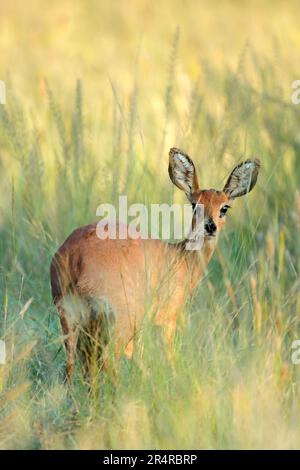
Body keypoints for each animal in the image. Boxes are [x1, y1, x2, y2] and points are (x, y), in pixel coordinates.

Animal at [49, 148, 260, 382]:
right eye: (195, 204)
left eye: (225, 207)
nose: (210, 226)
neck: (181, 259)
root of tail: (73, 257)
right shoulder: (168, 319)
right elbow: (168, 356)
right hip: (119, 318)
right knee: (108, 359)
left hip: (70, 315)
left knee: (73, 365)